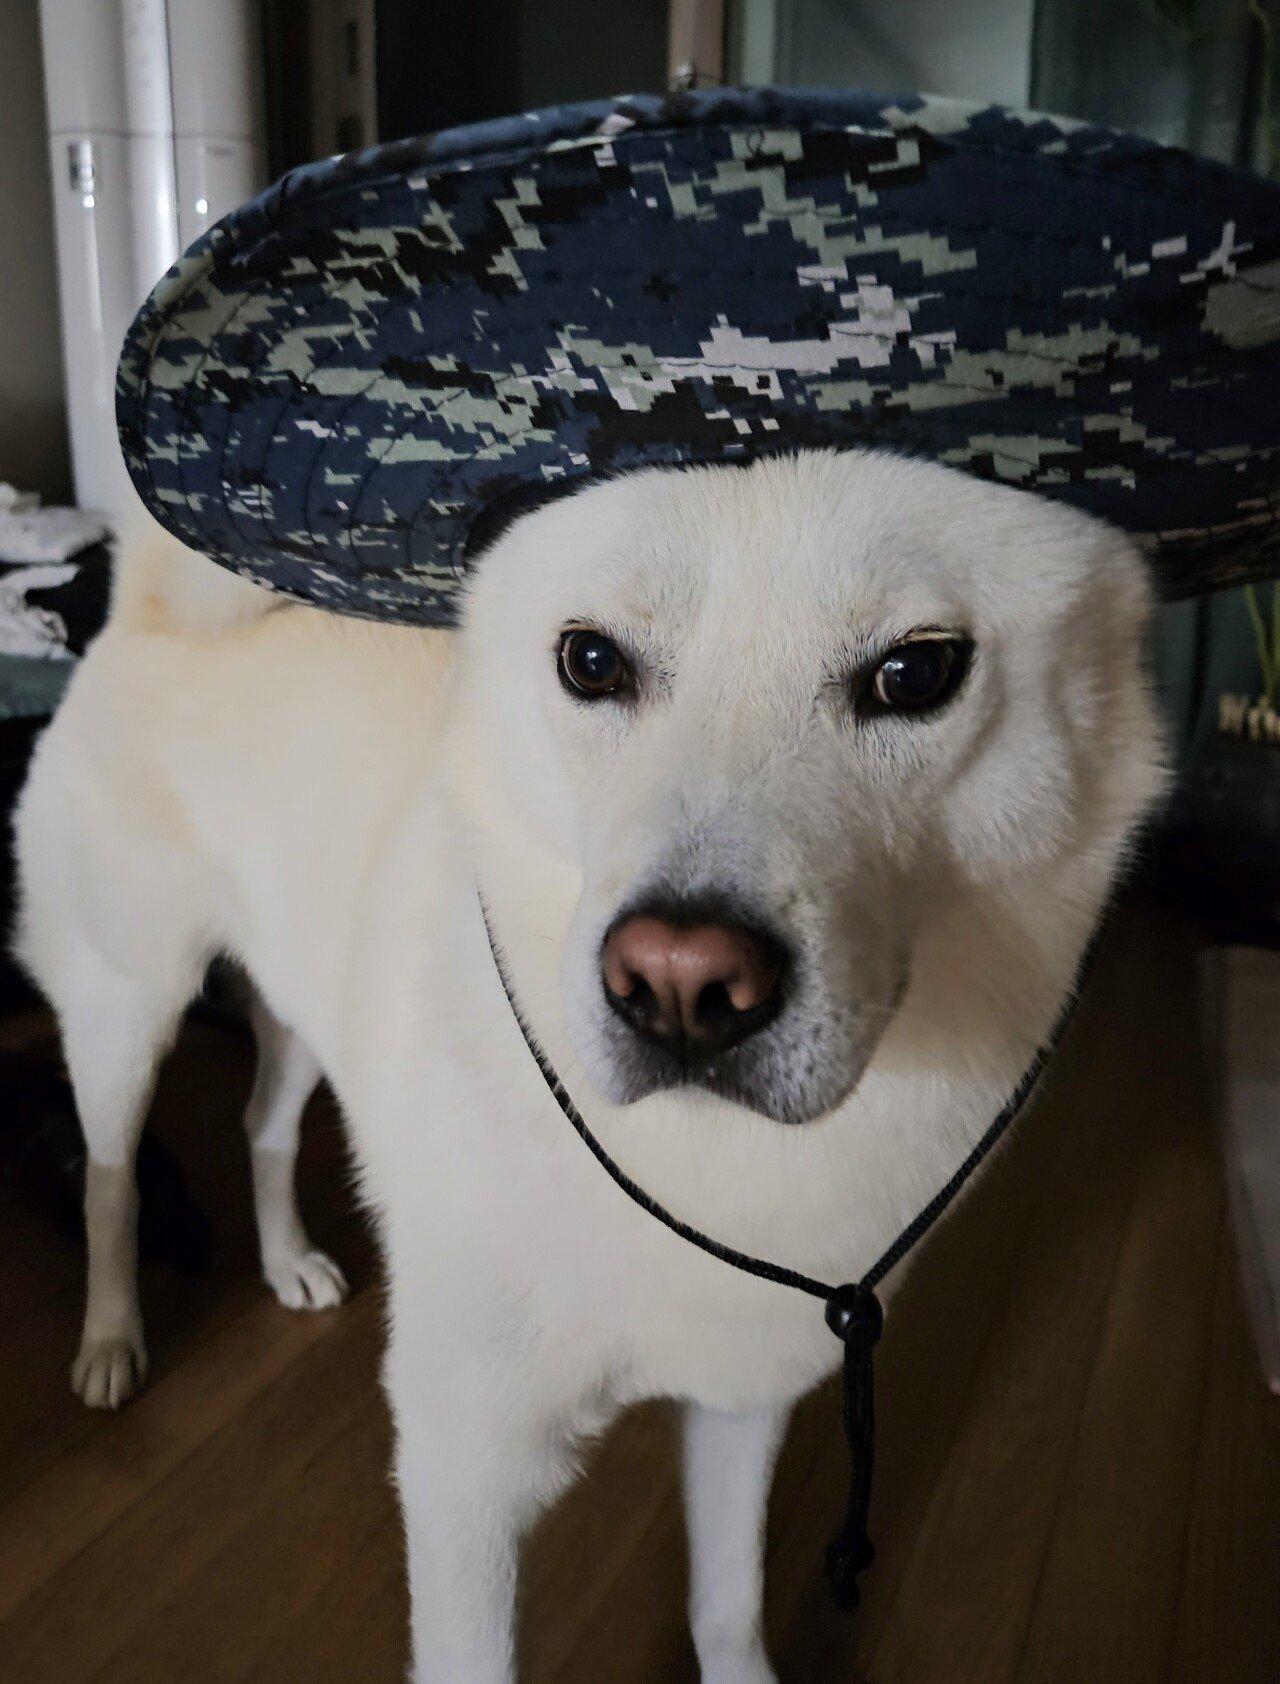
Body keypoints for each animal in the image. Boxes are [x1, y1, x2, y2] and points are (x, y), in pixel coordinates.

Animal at [14, 451, 1165, 1684]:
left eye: (914, 673)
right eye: (592, 662)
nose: (679, 984)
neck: (706, 1165)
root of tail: (144, 617)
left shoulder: (741, 1395)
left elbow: (727, 1605)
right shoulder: (465, 1468)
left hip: (299, 1012)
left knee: (264, 1123)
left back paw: (287, 1261)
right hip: (125, 1011)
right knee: (110, 1184)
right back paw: (110, 1342)